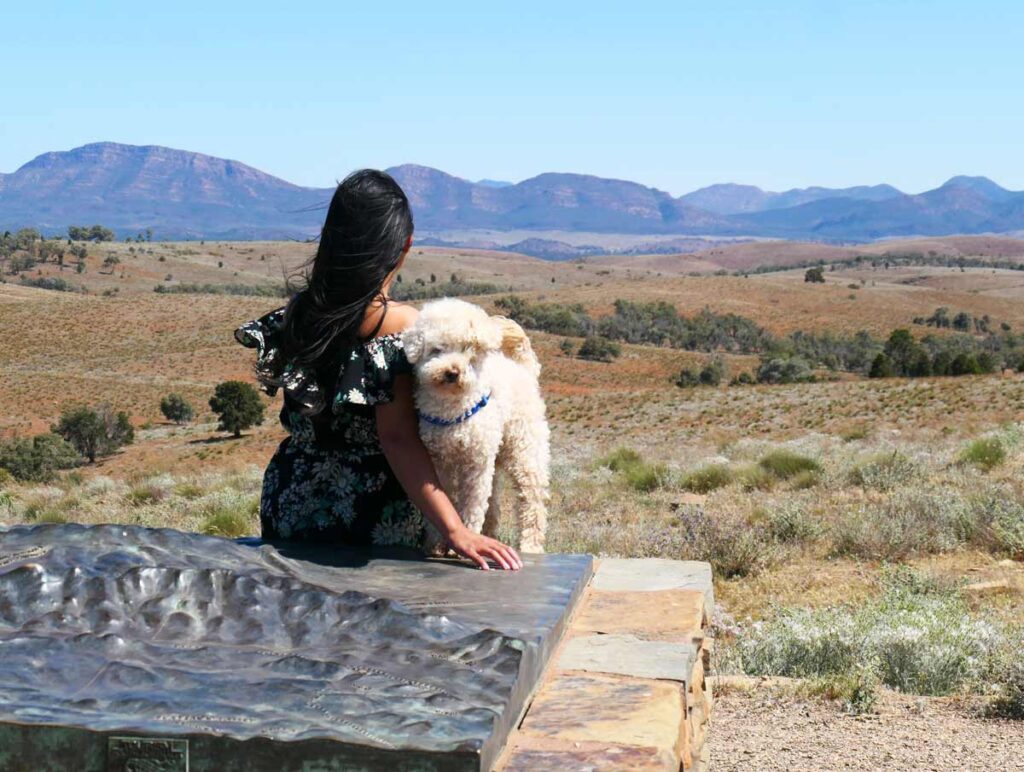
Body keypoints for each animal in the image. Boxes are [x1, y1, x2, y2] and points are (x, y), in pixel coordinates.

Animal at [401, 296, 552, 552]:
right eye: (437, 349)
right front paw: (437, 544)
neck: (452, 410)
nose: (452, 372)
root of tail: (523, 369)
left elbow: (472, 505)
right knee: (494, 503)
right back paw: (491, 534)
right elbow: (442, 502)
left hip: (523, 450)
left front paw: (468, 537)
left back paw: (529, 545)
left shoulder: (476, 461)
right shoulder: (438, 461)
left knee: (532, 498)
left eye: (467, 349)